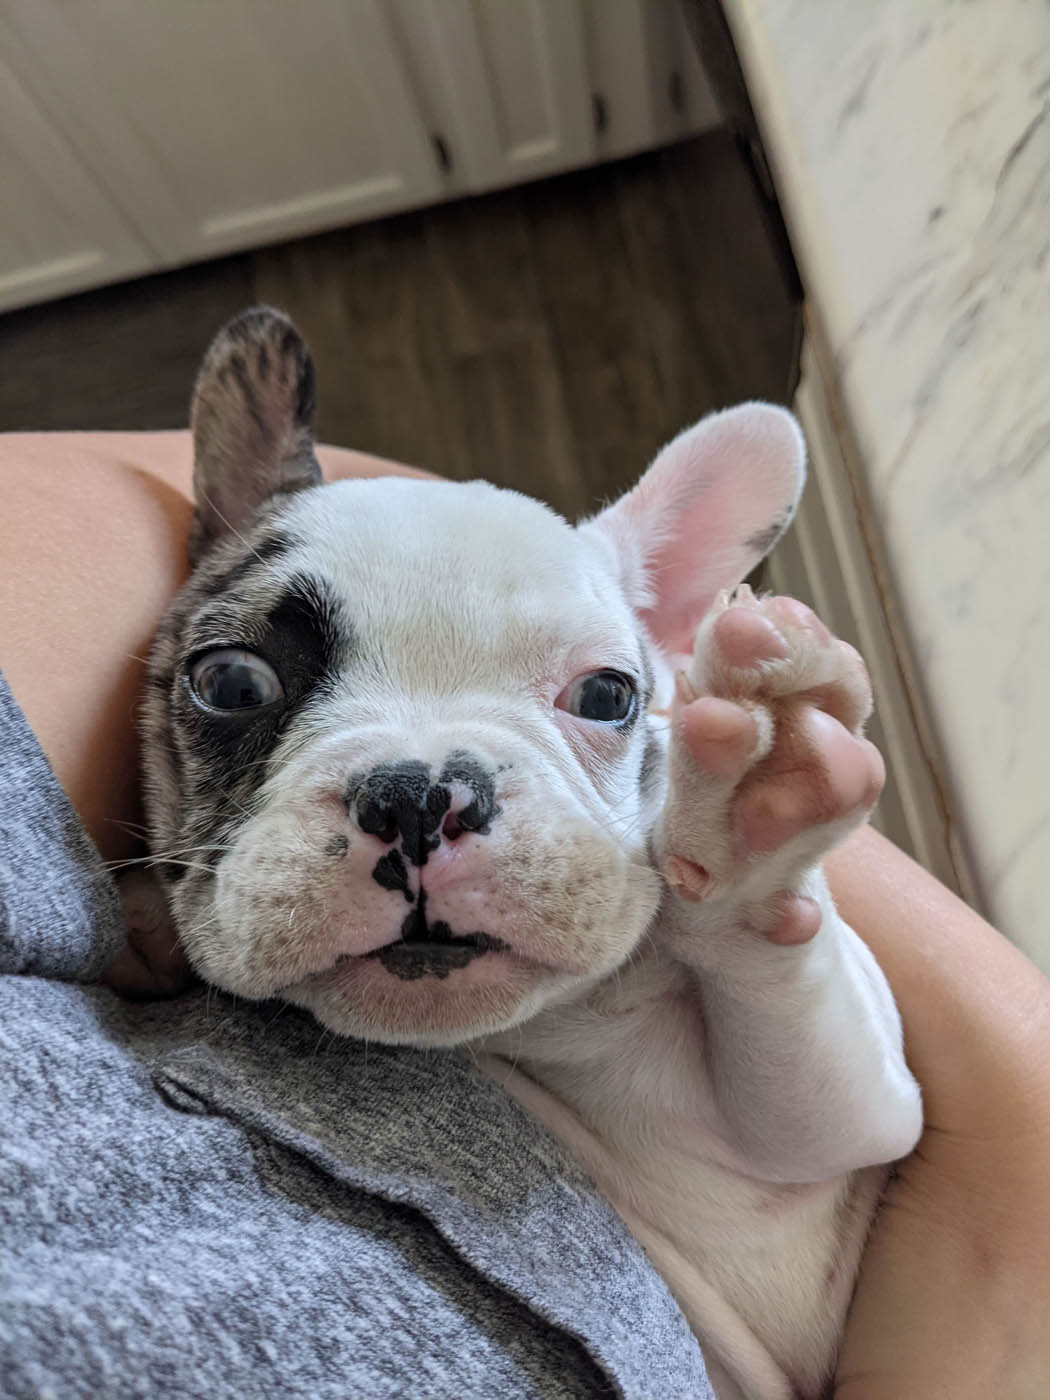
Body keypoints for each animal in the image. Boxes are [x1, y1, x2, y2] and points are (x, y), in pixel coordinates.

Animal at [129, 309, 918, 1400]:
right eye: (234, 683)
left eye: (608, 695)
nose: (418, 796)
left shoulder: (852, 1114)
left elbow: (788, 1012)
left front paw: (760, 801)